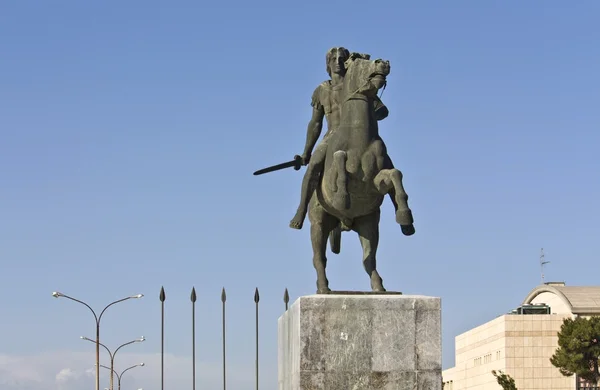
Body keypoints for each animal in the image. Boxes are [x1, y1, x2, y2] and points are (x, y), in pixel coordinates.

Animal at [310, 53, 412, 294]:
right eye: (356, 61)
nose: (382, 62)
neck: (359, 139)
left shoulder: (375, 183)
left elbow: (395, 174)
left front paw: (405, 215)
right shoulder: (331, 177)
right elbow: (339, 159)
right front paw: (342, 197)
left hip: (369, 224)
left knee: (369, 258)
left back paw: (379, 288)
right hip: (318, 223)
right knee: (319, 258)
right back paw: (323, 288)